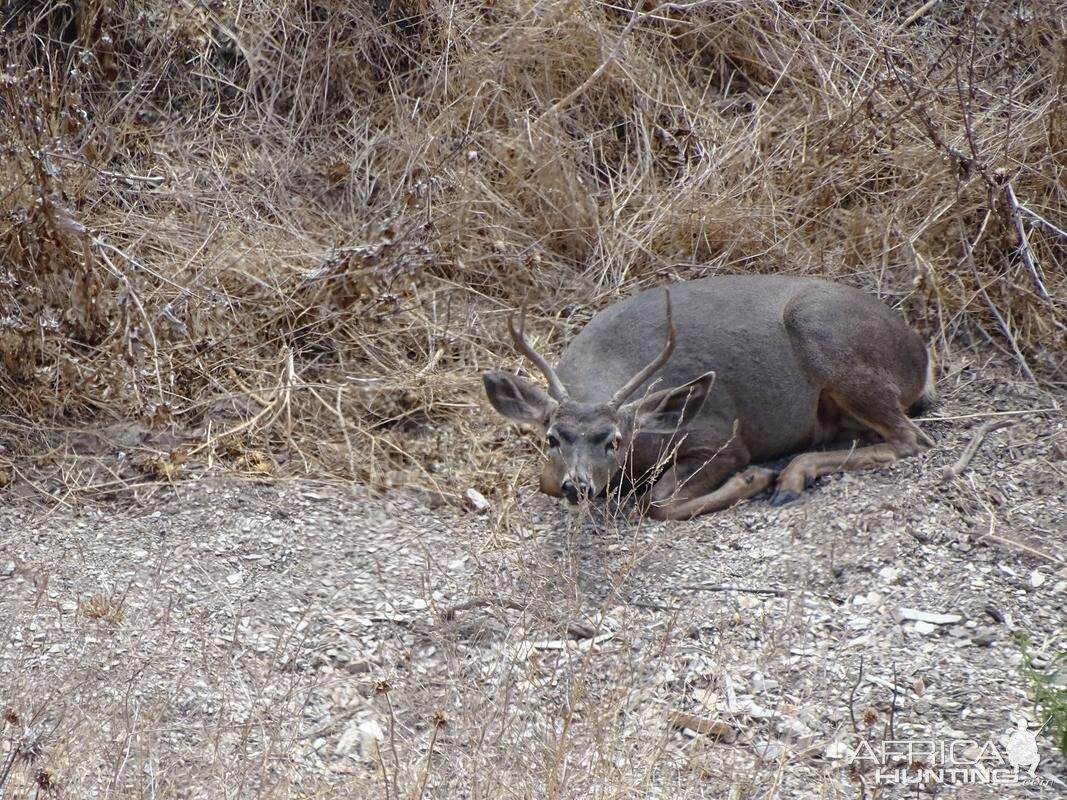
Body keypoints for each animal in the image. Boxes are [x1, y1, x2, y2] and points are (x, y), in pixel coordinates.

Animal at [484, 277, 934, 526]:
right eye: (552, 439)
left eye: (614, 440)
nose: (577, 485)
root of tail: (920, 353)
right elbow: (543, 480)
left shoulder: (719, 438)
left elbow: (656, 501)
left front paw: (753, 478)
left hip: (824, 336)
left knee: (912, 438)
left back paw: (788, 478)